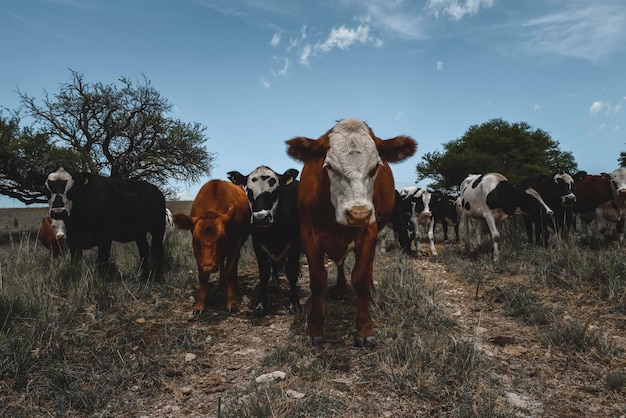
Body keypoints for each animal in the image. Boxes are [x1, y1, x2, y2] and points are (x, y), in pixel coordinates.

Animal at [172, 180, 250, 314]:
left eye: (222, 238)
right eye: (196, 239)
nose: (208, 267)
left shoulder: (235, 245)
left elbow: (230, 272)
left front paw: (231, 303)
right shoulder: (196, 251)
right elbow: (202, 276)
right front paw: (199, 305)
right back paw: (221, 282)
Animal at [227, 165, 302, 316]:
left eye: (276, 190)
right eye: (249, 191)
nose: (260, 218)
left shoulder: (295, 242)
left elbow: (291, 271)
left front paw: (294, 303)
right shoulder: (258, 244)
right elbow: (264, 272)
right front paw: (261, 304)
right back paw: (274, 282)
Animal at [286, 117, 414, 346]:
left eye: (375, 167)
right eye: (329, 166)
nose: (358, 214)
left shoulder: (369, 233)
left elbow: (360, 278)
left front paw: (364, 329)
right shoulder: (309, 237)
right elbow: (318, 280)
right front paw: (314, 328)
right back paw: (340, 288)